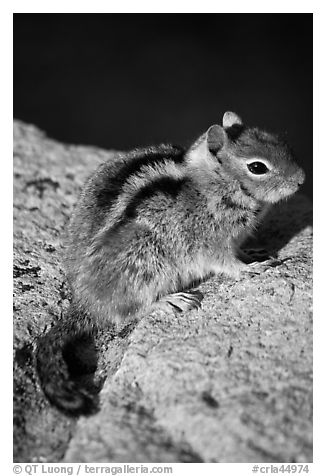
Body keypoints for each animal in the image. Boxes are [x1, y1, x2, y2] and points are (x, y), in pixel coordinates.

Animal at [36, 110, 306, 412]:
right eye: (258, 167)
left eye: (280, 143)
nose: (301, 179)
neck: (213, 182)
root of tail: (83, 302)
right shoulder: (211, 243)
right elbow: (228, 264)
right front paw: (251, 269)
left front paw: (255, 254)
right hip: (145, 262)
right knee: (125, 312)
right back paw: (168, 301)